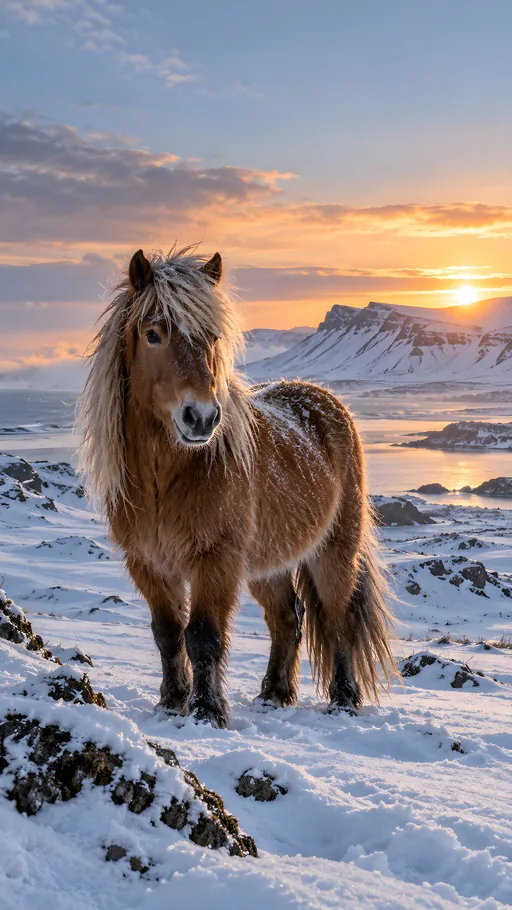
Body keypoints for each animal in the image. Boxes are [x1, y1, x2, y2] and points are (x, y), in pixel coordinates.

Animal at [78, 246, 396, 728]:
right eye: (153, 334)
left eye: (212, 337)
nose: (202, 418)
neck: (165, 480)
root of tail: (324, 398)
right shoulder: (148, 563)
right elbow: (168, 633)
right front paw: (171, 702)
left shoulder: (216, 560)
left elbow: (203, 635)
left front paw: (207, 712)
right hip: (268, 564)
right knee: (287, 619)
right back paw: (274, 695)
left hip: (334, 550)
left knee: (337, 619)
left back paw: (343, 700)